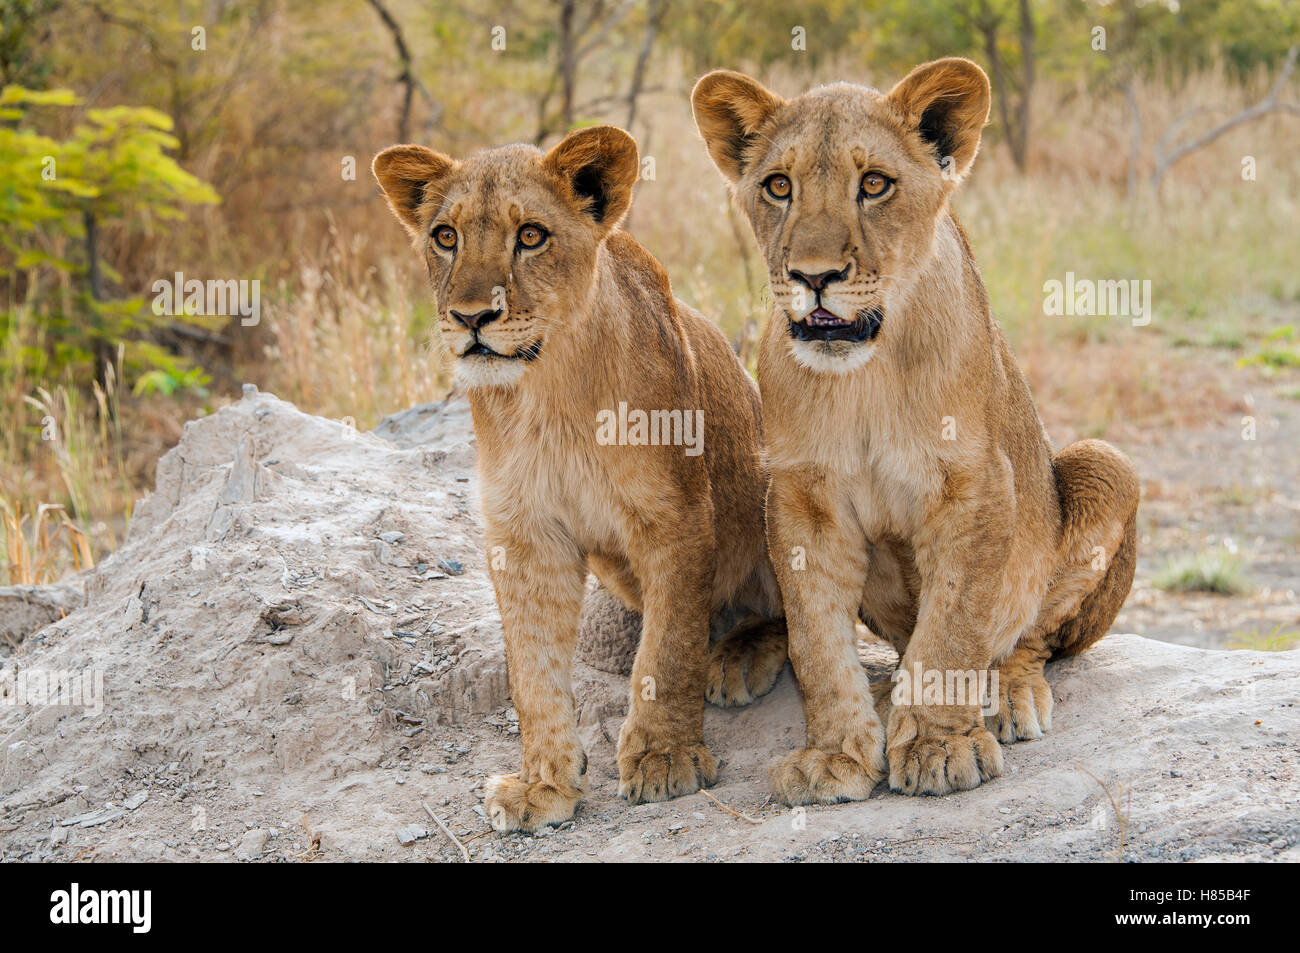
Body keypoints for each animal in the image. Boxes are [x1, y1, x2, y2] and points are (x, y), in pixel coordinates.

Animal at [372, 126, 786, 832]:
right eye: (445, 236)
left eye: (531, 235)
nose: (470, 317)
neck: (549, 395)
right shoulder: (523, 534)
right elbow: (532, 674)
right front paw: (543, 785)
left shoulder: (675, 518)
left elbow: (668, 651)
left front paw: (664, 758)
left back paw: (738, 657)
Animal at [692, 58, 1139, 803]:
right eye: (778, 186)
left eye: (874, 184)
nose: (813, 276)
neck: (865, 376)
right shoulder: (800, 498)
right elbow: (817, 639)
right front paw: (835, 752)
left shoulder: (978, 485)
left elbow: (953, 628)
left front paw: (938, 744)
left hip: (1105, 463)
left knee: (1028, 638)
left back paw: (1008, 696)